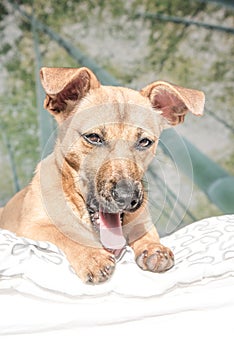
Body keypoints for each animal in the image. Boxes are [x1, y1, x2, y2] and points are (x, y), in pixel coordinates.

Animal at [0, 67, 205, 284]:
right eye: (93, 137)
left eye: (145, 142)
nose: (127, 198)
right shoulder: (31, 228)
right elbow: (62, 233)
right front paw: (91, 255)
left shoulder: (141, 221)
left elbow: (145, 232)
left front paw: (154, 248)